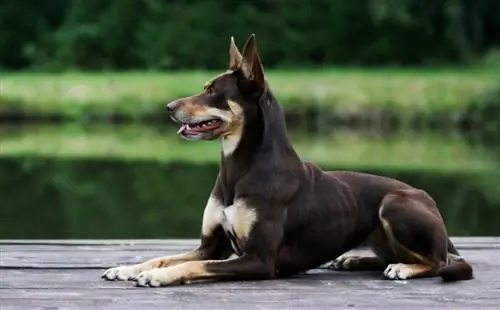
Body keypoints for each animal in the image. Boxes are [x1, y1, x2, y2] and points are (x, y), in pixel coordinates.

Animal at [100, 33, 472, 286]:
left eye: (211, 90)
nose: (168, 108)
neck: (241, 167)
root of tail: (430, 202)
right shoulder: (211, 246)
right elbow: (164, 257)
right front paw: (128, 268)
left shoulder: (258, 260)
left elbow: (189, 266)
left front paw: (159, 277)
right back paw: (354, 261)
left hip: (394, 204)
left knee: (441, 262)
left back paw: (404, 267)